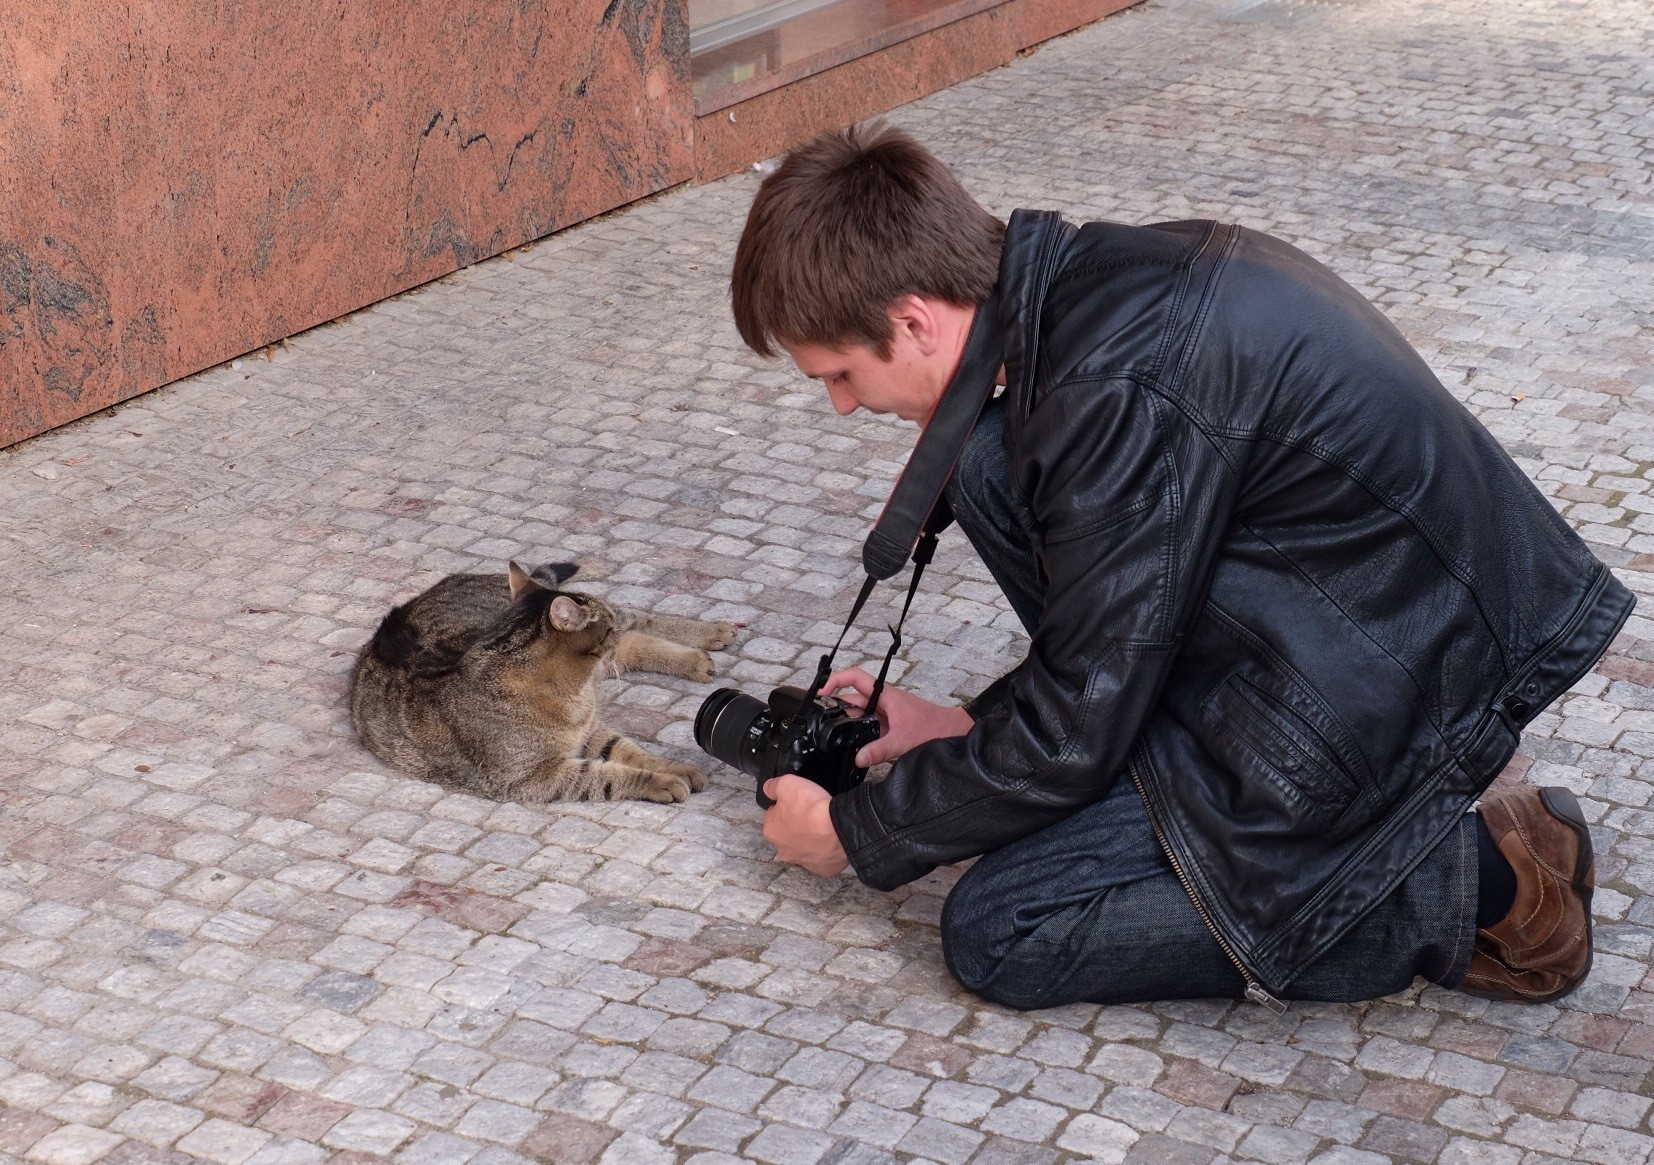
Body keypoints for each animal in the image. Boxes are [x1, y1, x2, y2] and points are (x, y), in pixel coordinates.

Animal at [348, 562, 737, 800]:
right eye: (605, 629)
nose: (612, 631)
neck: (575, 693)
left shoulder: (589, 731)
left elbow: (632, 751)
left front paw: (674, 768)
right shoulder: (536, 776)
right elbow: (610, 774)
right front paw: (664, 780)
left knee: (639, 621)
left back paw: (710, 636)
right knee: (631, 640)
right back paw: (695, 656)